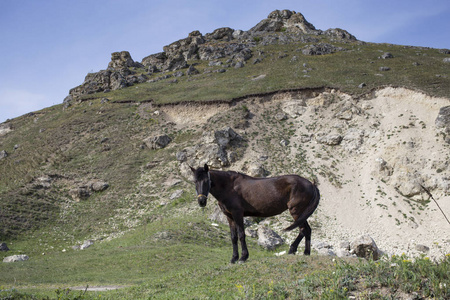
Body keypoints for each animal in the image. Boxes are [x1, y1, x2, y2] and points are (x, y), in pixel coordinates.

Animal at [190, 164, 320, 262]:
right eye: (195, 181)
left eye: (207, 181)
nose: (201, 201)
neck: (229, 187)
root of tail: (311, 184)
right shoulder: (229, 217)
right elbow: (233, 237)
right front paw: (234, 258)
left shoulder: (237, 214)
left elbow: (241, 235)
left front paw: (243, 257)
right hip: (301, 213)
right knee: (307, 230)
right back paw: (306, 252)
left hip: (296, 212)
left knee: (303, 230)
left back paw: (293, 250)